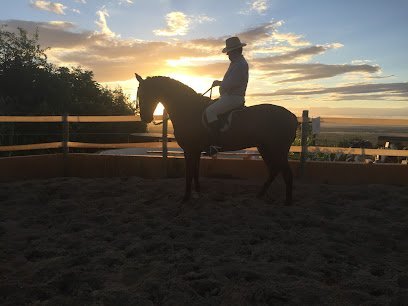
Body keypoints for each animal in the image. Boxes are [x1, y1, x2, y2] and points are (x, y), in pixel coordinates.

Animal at [135, 73, 298, 206]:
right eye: (139, 94)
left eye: (145, 93)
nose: (145, 118)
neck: (188, 109)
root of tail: (292, 117)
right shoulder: (196, 150)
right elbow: (195, 171)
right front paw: (198, 192)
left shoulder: (190, 150)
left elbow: (189, 173)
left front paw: (186, 198)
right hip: (265, 148)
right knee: (274, 170)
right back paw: (260, 195)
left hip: (277, 150)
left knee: (286, 173)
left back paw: (287, 201)